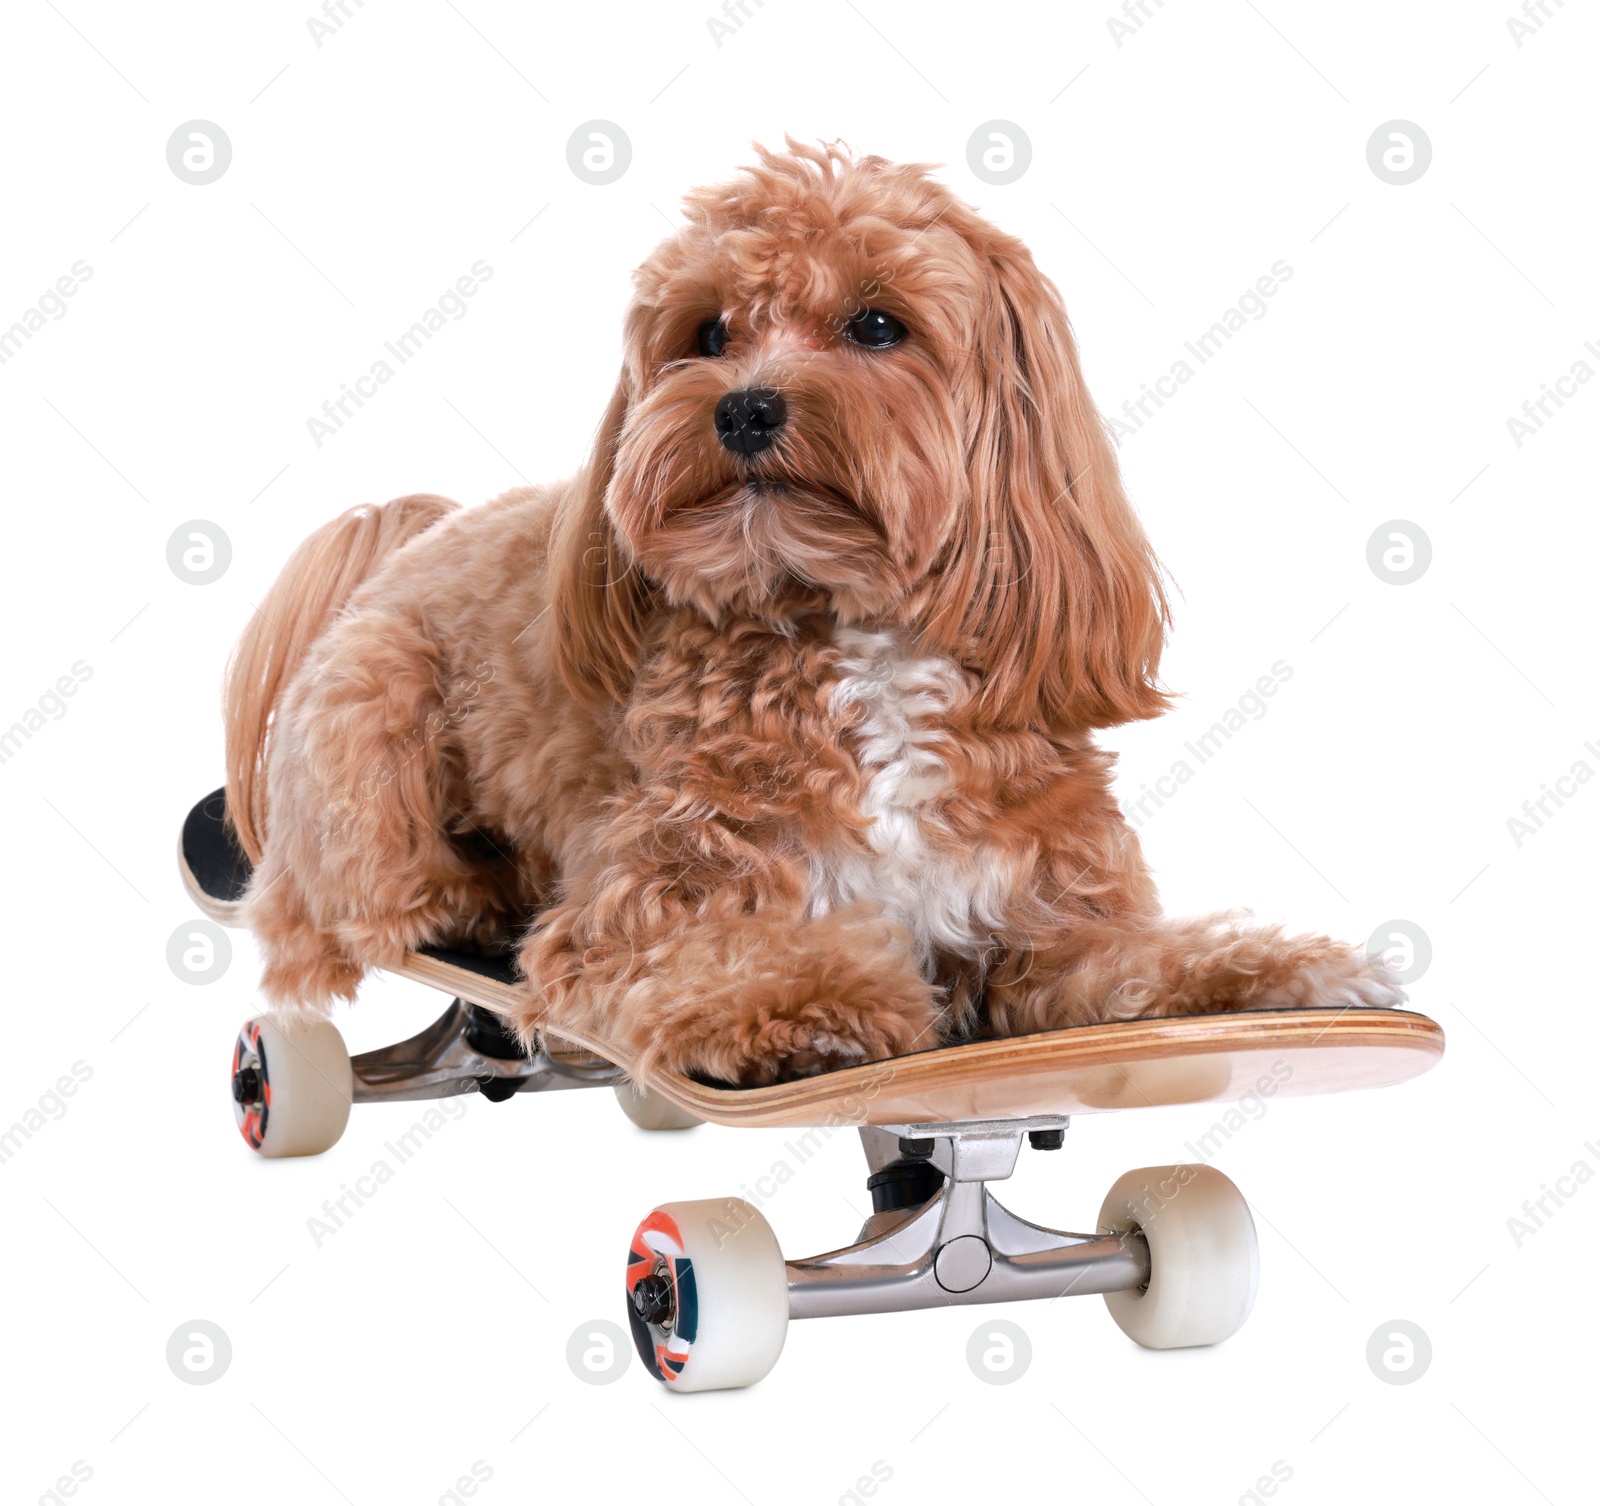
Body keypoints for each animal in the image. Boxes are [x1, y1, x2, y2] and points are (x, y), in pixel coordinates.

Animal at [225, 140, 1401, 1081]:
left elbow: (1130, 962)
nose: (745, 408)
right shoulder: (641, 909)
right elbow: (722, 957)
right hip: (371, 708)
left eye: (877, 323)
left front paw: (1278, 968)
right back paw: (459, 900)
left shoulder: (1040, 920)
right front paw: (814, 1008)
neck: (858, 638)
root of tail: (409, 538)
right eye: (707, 333)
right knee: (337, 902)